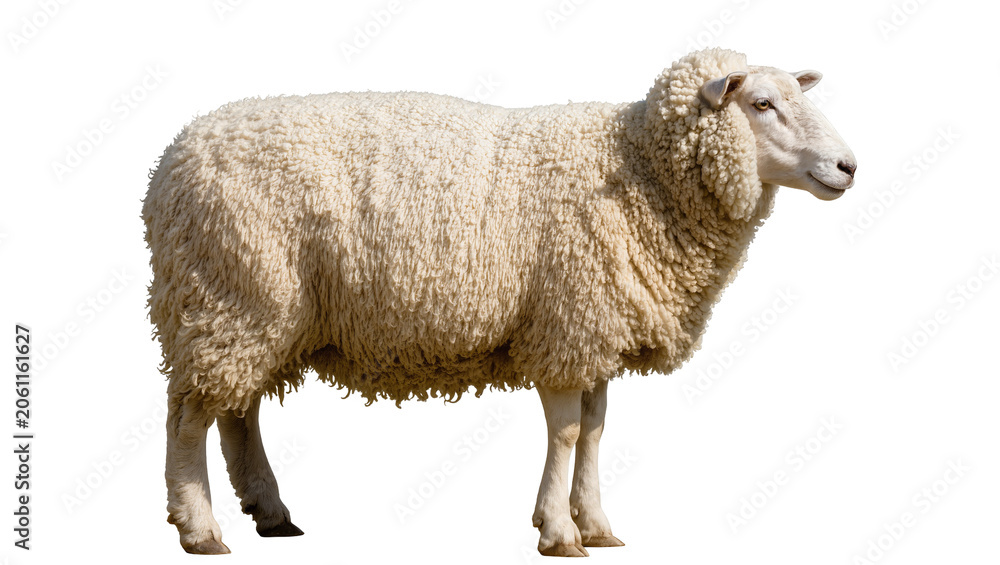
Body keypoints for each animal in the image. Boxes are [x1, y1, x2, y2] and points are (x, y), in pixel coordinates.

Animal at [142, 47, 856, 556]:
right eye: (761, 103)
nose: (848, 166)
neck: (641, 169)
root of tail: (172, 162)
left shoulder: (595, 326)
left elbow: (596, 430)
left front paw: (596, 524)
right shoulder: (568, 321)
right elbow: (567, 431)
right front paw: (559, 532)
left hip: (256, 307)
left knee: (237, 412)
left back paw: (271, 514)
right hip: (230, 294)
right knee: (189, 418)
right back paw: (200, 530)